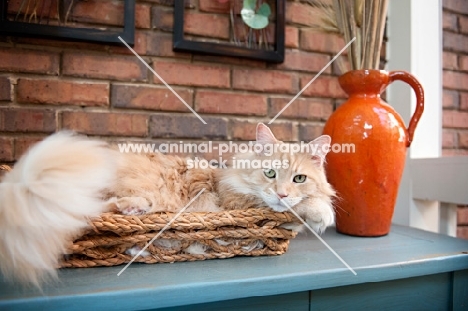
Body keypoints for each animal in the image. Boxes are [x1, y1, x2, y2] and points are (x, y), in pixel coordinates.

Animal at [0, 123, 336, 288]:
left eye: (299, 178)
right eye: (270, 174)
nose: (282, 194)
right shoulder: (235, 201)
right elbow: (296, 207)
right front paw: (321, 213)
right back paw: (133, 211)